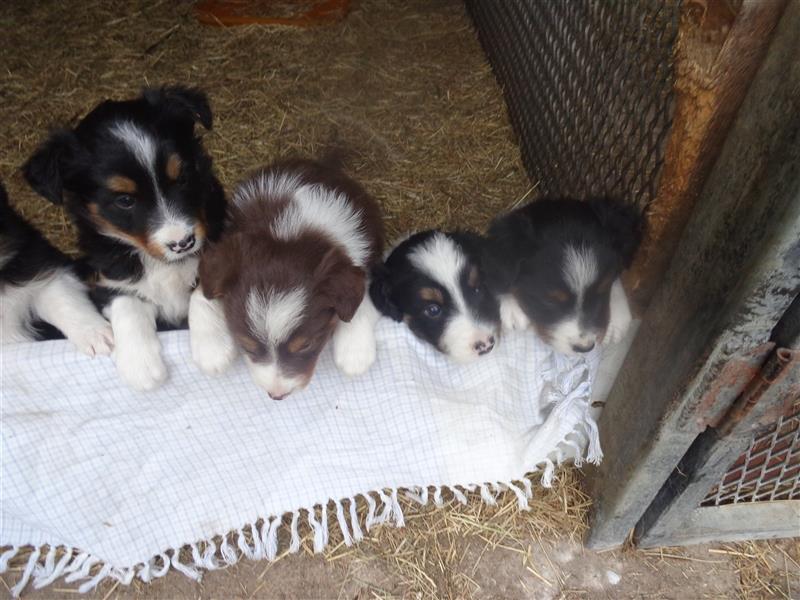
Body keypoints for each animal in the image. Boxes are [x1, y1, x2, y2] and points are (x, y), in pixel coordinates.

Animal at [23, 86, 227, 392]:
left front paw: (213, 350)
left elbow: (204, 289)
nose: (183, 243)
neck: (160, 262)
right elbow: (126, 304)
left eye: (183, 178)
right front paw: (140, 366)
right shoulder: (107, 276)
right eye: (125, 201)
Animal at [191, 157, 384, 400]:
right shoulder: (223, 256)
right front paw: (212, 351)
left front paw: (355, 352)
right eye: (247, 346)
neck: (288, 231)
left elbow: (359, 298)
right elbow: (201, 292)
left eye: (305, 345)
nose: (277, 395)